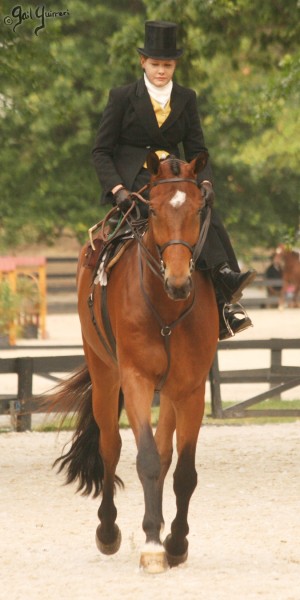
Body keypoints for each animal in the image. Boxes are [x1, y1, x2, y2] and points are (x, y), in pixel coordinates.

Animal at [51, 151, 218, 572]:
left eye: (198, 208)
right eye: (153, 210)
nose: (179, 281)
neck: (166, 308)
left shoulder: (191, 389)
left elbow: (182, 471)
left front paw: (175, 542)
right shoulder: (136, 380)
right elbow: (145, 460)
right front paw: (153, 544)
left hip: (170, 391)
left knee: (164, 451)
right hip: (106, 378)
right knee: (110, 446)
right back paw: (109, 531)